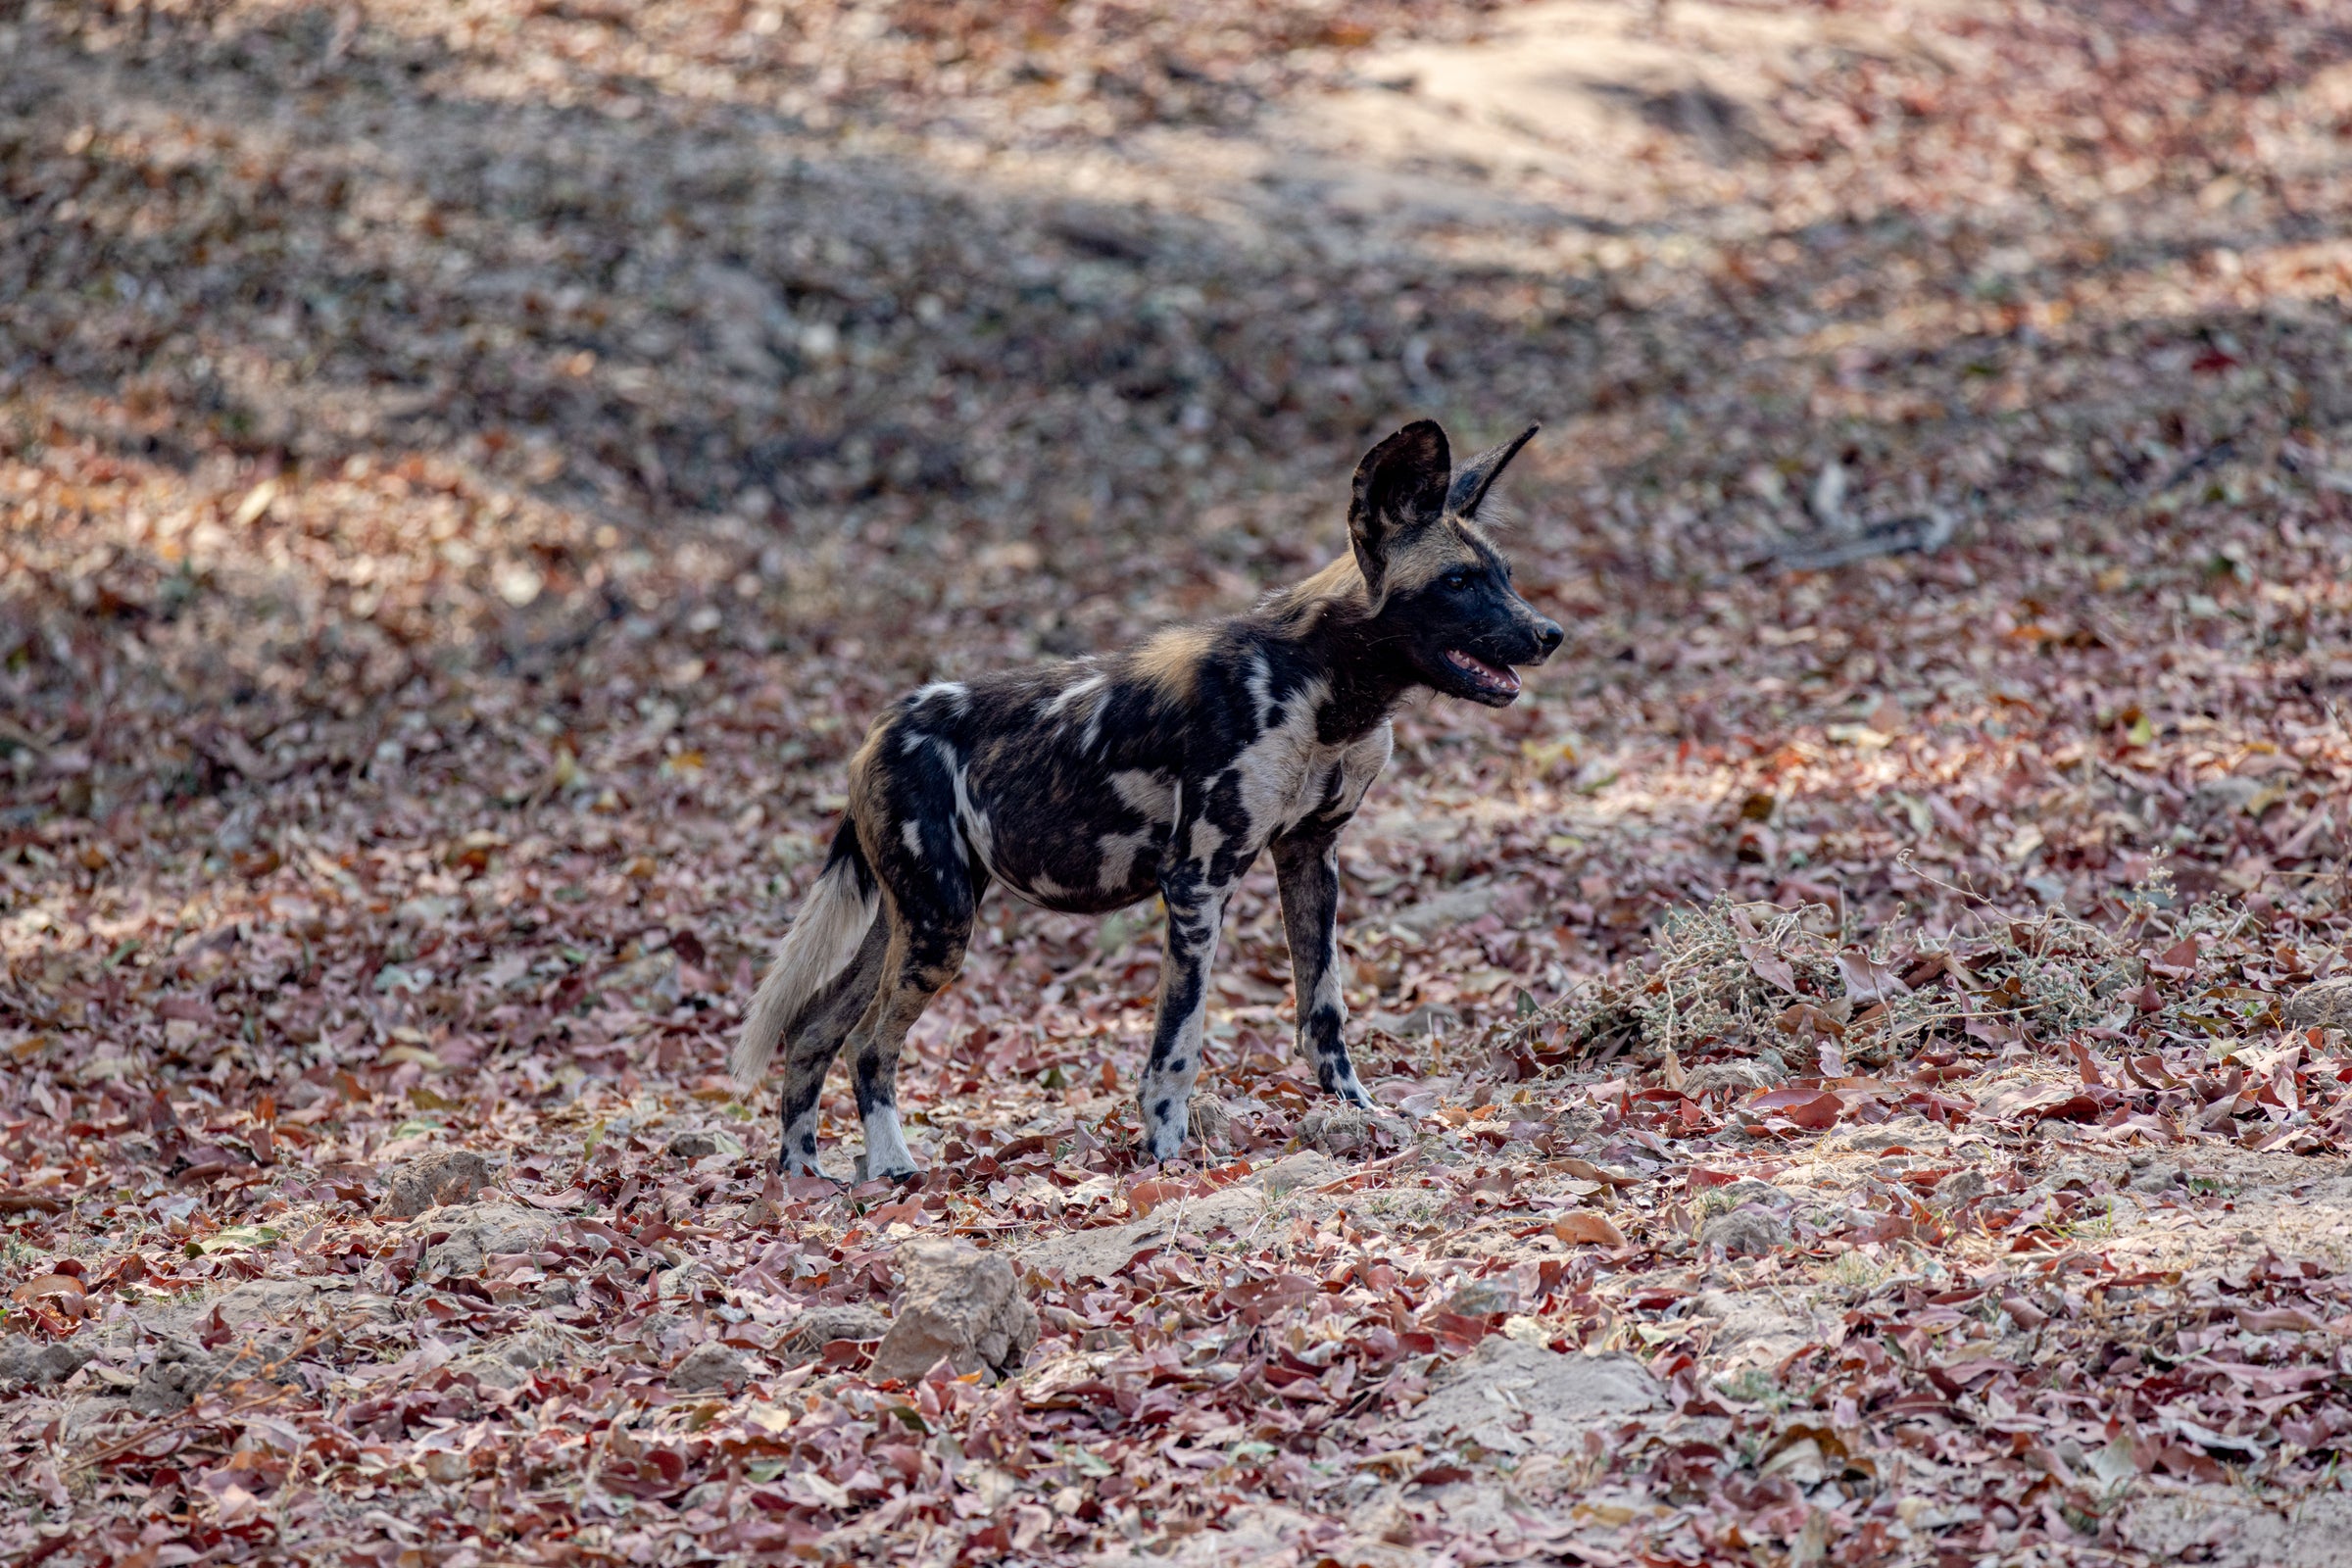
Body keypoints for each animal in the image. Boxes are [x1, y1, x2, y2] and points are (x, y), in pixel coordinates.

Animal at [738, 420, 1561, 1175]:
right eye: (1457, 582)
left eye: (1506, 575)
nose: (1550, 633)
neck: (1328, 690)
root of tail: (877, 730)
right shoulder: (1196, 884)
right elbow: (1178, 1043)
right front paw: (1166, 1155)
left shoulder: (1310, 859)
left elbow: (1323, 1013)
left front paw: (1358, 1115)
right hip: (941, 928)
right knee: (868, 1046)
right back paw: (893, 1170)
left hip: (912, 919)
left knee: (813, 1032)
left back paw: (804, 1179)